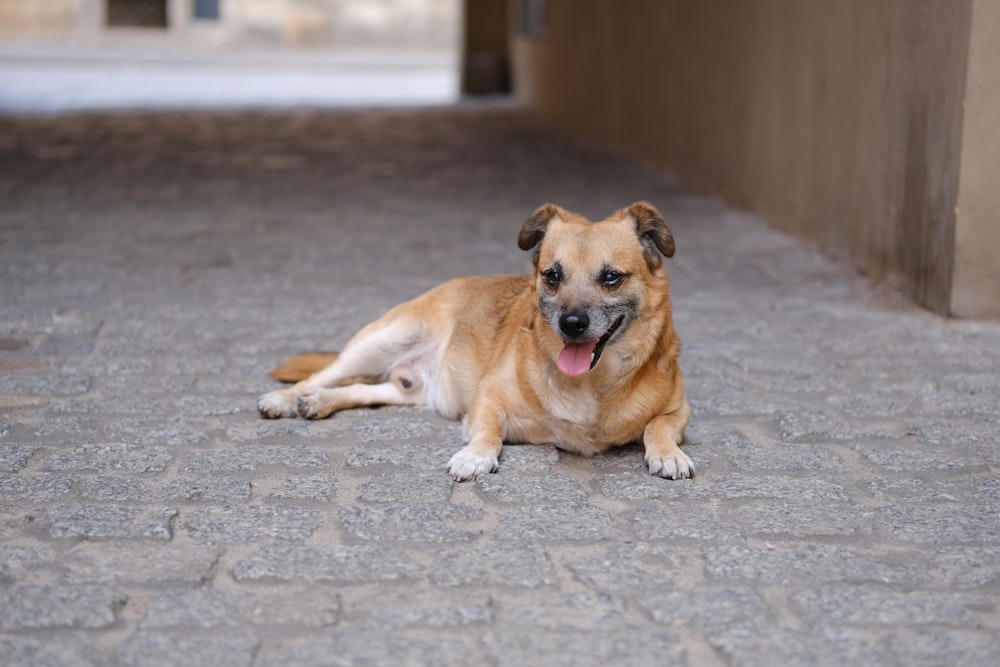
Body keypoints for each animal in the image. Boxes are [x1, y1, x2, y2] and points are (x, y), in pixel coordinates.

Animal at [258, 201, 696, 482]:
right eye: (552, 276)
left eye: (611, 278)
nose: (571, 324)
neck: (590, 383)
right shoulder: (487, 398)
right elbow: (489, 431)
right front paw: (475, 456)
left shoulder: (679, 410)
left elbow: (656, 427)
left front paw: (669, 453)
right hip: (384, 340)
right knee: (326, 373)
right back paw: (287, 398)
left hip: (412, 388)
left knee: (371, 390)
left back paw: (319, 402)